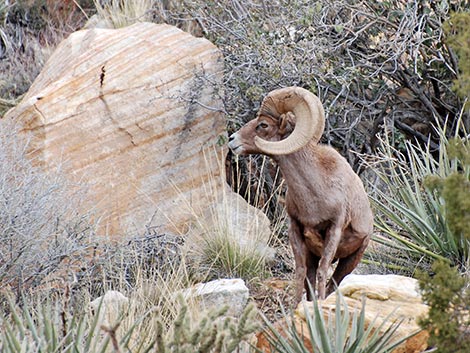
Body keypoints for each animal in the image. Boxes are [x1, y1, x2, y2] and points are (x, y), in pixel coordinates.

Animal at [229, 86, 374, 302]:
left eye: (263, 124)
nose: (232, 140)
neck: (315, 193)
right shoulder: (295, 229)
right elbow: (300, 273)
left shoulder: (334, 230)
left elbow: (322, 272)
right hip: (315, 254)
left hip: (351, 259)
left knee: (333, 283)